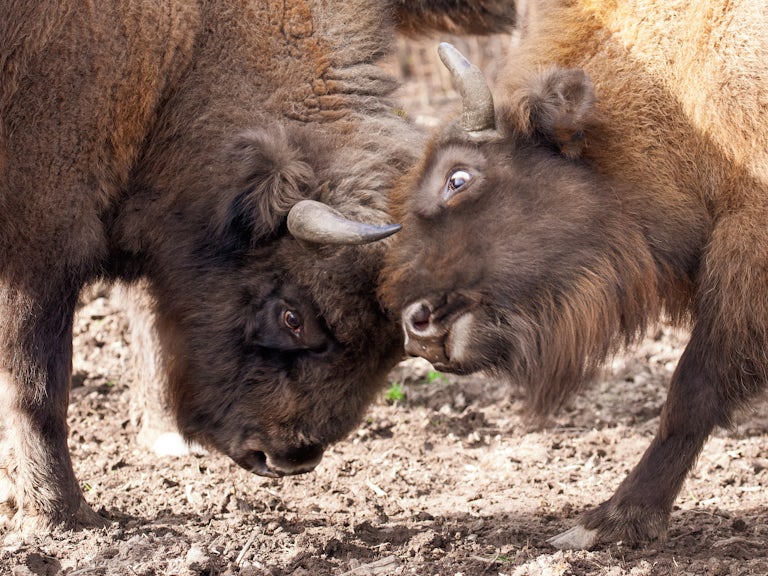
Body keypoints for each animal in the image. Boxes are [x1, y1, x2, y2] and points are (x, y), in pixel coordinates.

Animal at [0, 0, 516, 534]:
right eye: (292, 317)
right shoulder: (43, 238)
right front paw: (61, 514)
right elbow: (38, 385)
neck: (190, 57)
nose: (289, 458)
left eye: (394, 350)